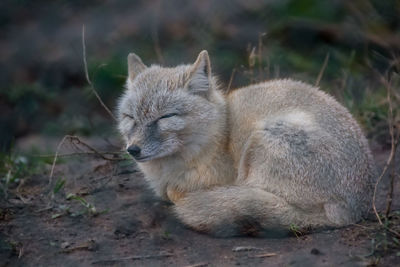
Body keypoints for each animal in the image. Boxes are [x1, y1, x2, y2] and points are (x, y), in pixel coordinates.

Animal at [117, 50, 376, 239]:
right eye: (130, 117)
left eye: (165, 117)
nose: (133, 149)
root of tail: (352, 210)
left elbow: (174, 191)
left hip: (260, 143)